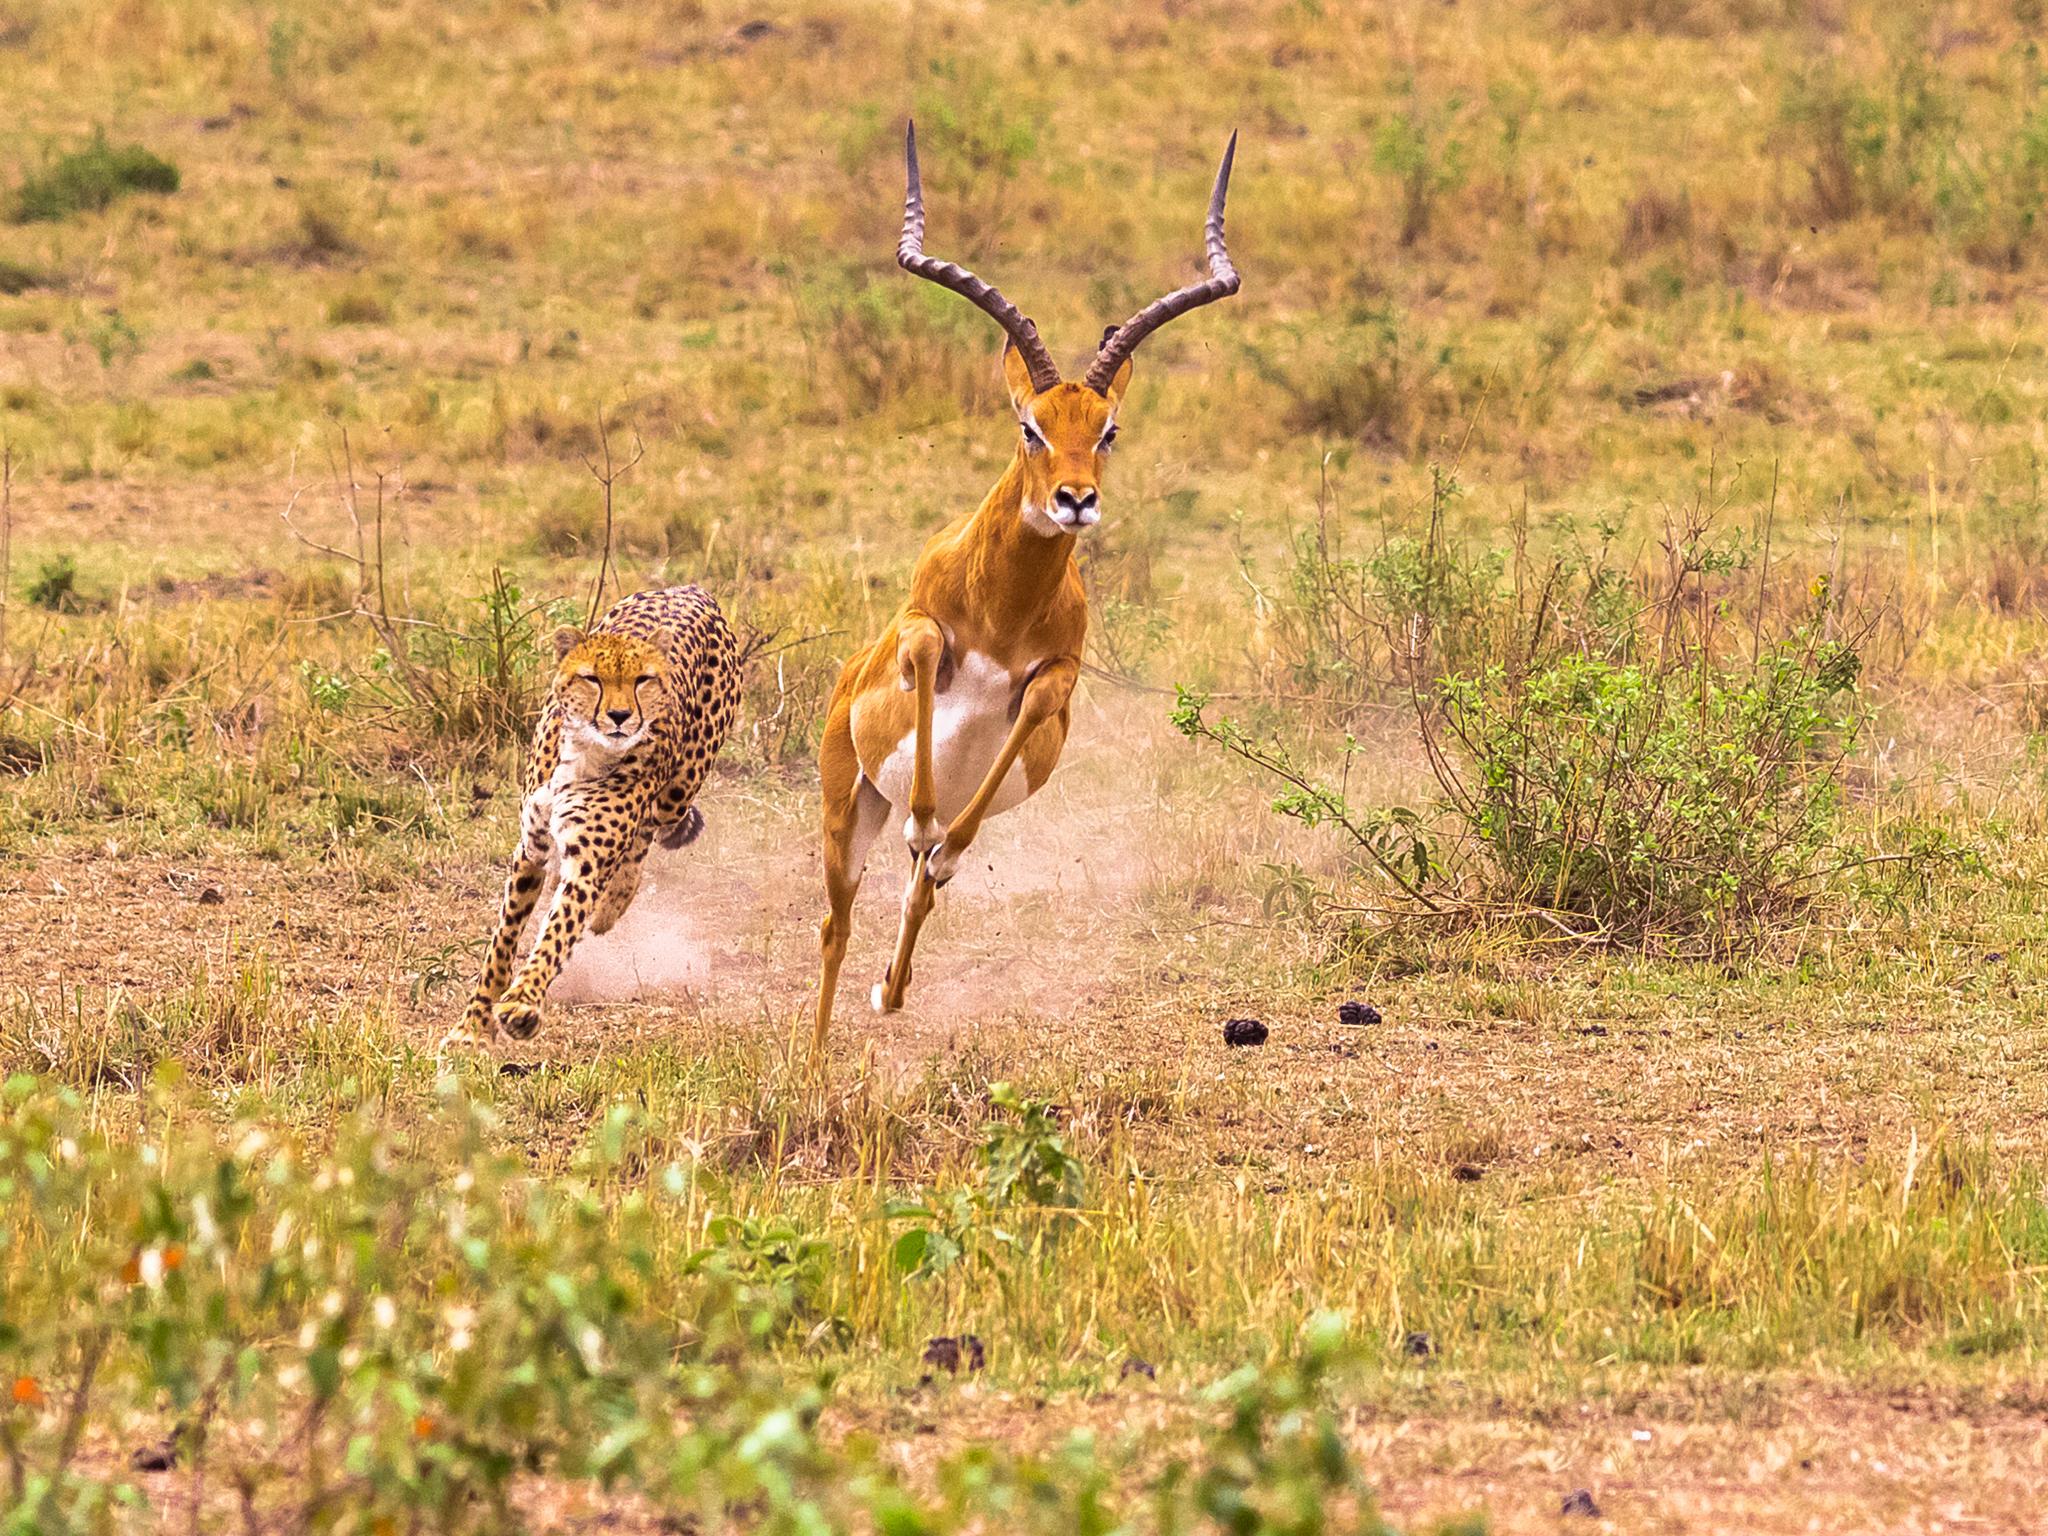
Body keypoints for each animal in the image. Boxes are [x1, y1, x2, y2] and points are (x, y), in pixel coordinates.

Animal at [440, 581, 745, 1056]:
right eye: (593, 678)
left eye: (643, 679)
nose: (620, 717)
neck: (586, 751)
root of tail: (689, 588)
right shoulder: (530, 850)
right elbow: (502, 942)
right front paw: (472, 1026)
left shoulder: (585, 864)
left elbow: (557, 932)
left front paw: (521, 1005)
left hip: (679, 790)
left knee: (645, 834)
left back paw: (613, 903)